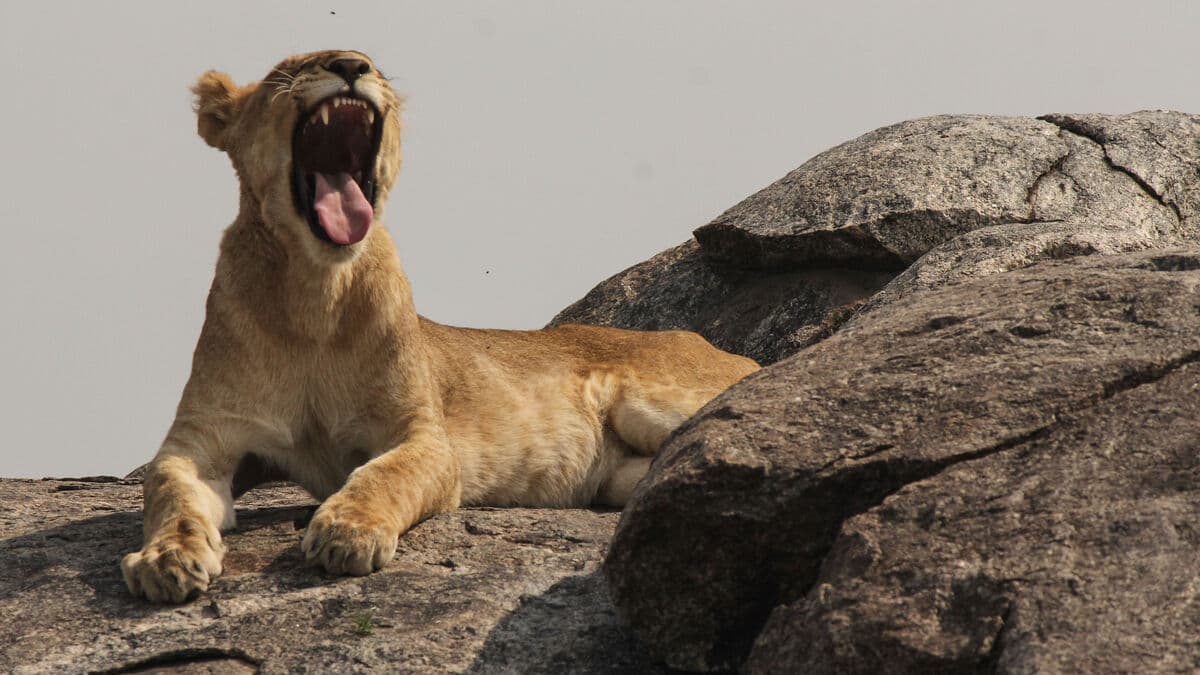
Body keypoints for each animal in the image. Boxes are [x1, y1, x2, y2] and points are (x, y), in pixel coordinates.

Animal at [121, 50, 760, 603]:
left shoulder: (423, 434)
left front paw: (347, 532)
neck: (314, 293)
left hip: (651, 400)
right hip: (621, 476)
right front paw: (165, 559)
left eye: (373, 64)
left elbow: (384, 475)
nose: (352, 66)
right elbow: (168, 490)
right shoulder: (205, 437)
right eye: (287, 70)